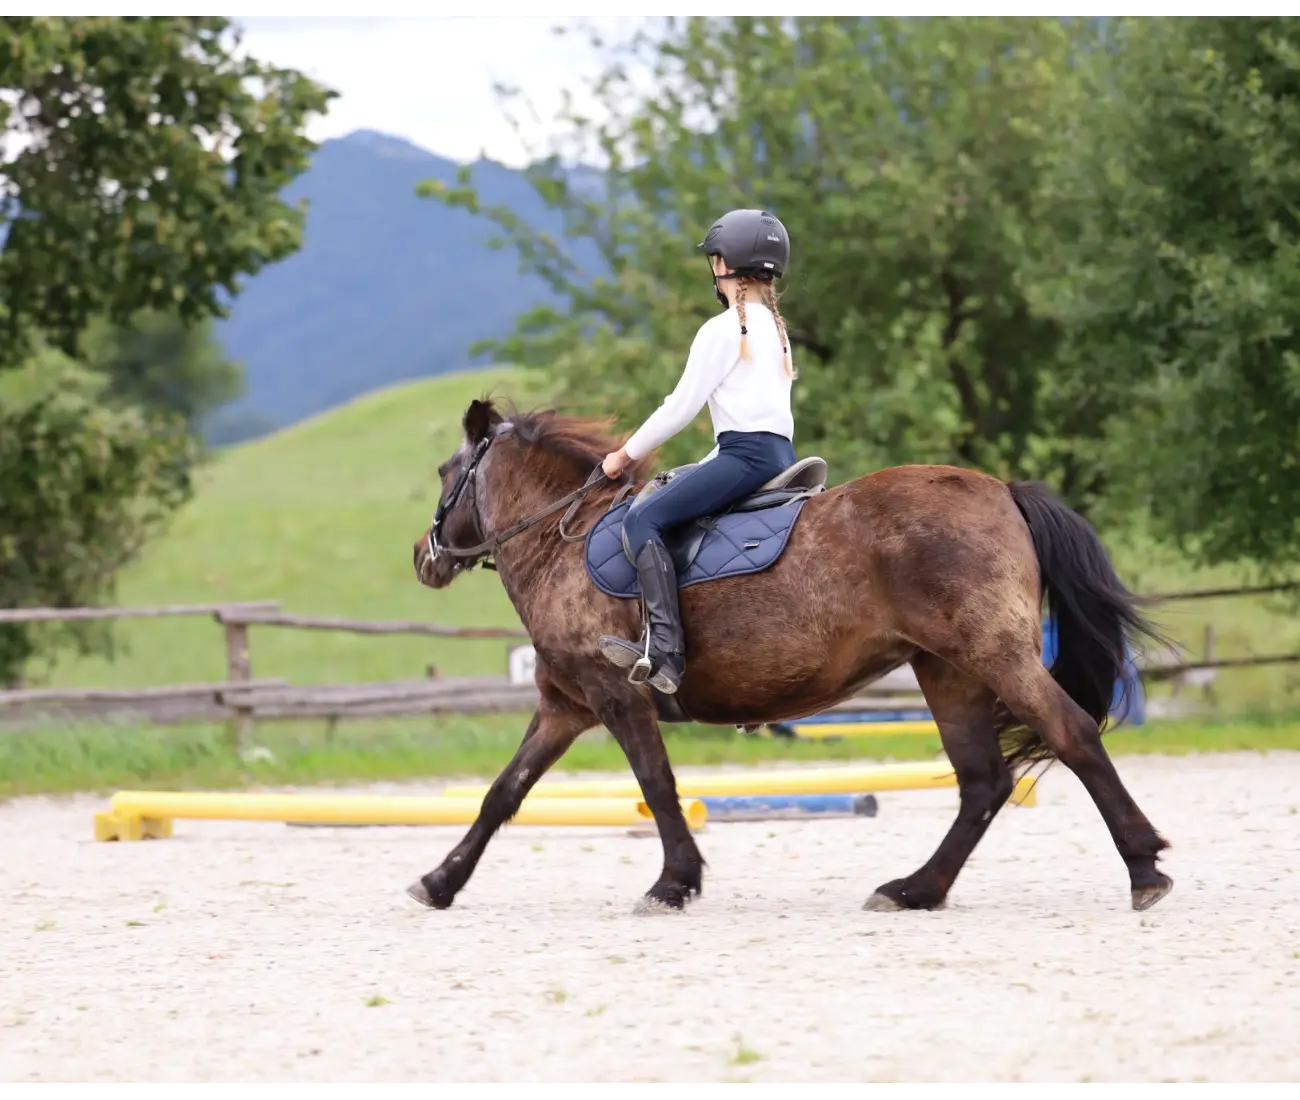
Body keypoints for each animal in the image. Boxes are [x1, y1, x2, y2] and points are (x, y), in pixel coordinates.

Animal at [407, 396, 1173, 915]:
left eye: (446, 472)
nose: (423, 556)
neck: (560, 543)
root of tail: (1004, 492)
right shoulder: (566, 705)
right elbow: (504, 792)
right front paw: (439, 881)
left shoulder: (617, 697)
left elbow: (657, 786)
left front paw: (673, 884)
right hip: (947, 670)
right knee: (983, 782)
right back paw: (915, 890)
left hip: (995, 657)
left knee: (1071, 734)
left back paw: (1144, 870)